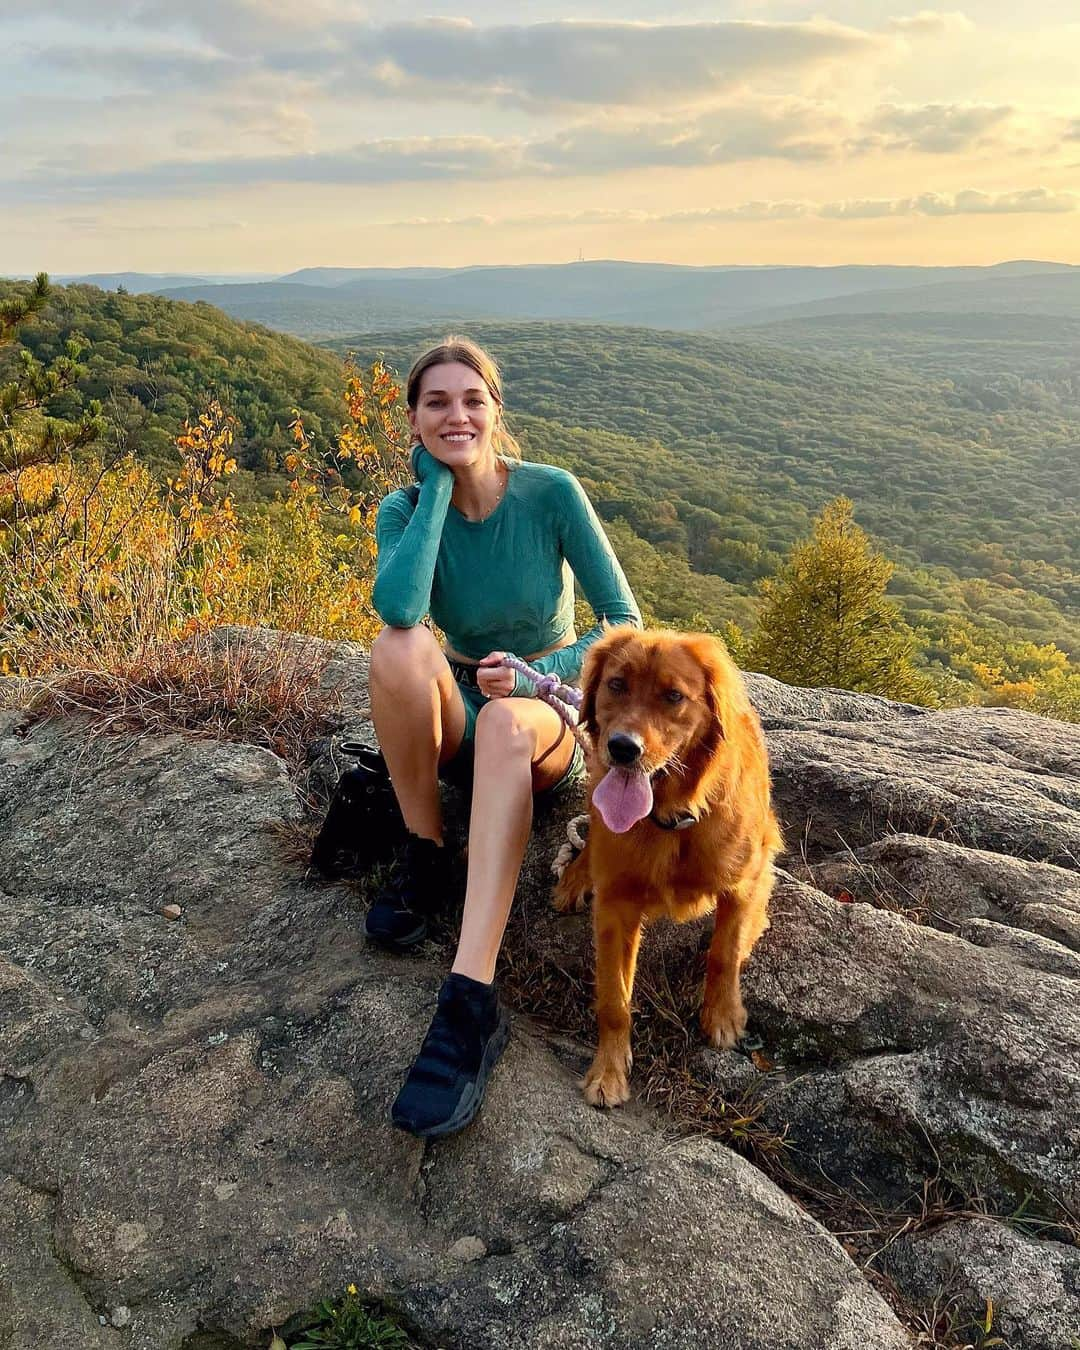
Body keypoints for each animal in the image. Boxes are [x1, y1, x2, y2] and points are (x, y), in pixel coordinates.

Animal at [553, 623, 783, 1107]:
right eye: (617, 685)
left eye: (673, 696)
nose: (623, 748)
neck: (673, 815)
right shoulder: (616, 905)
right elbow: (614, 1000)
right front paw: (608, 1072)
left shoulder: (740, 884)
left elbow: (724, 953)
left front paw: (723, 1016)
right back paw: (576, 877)